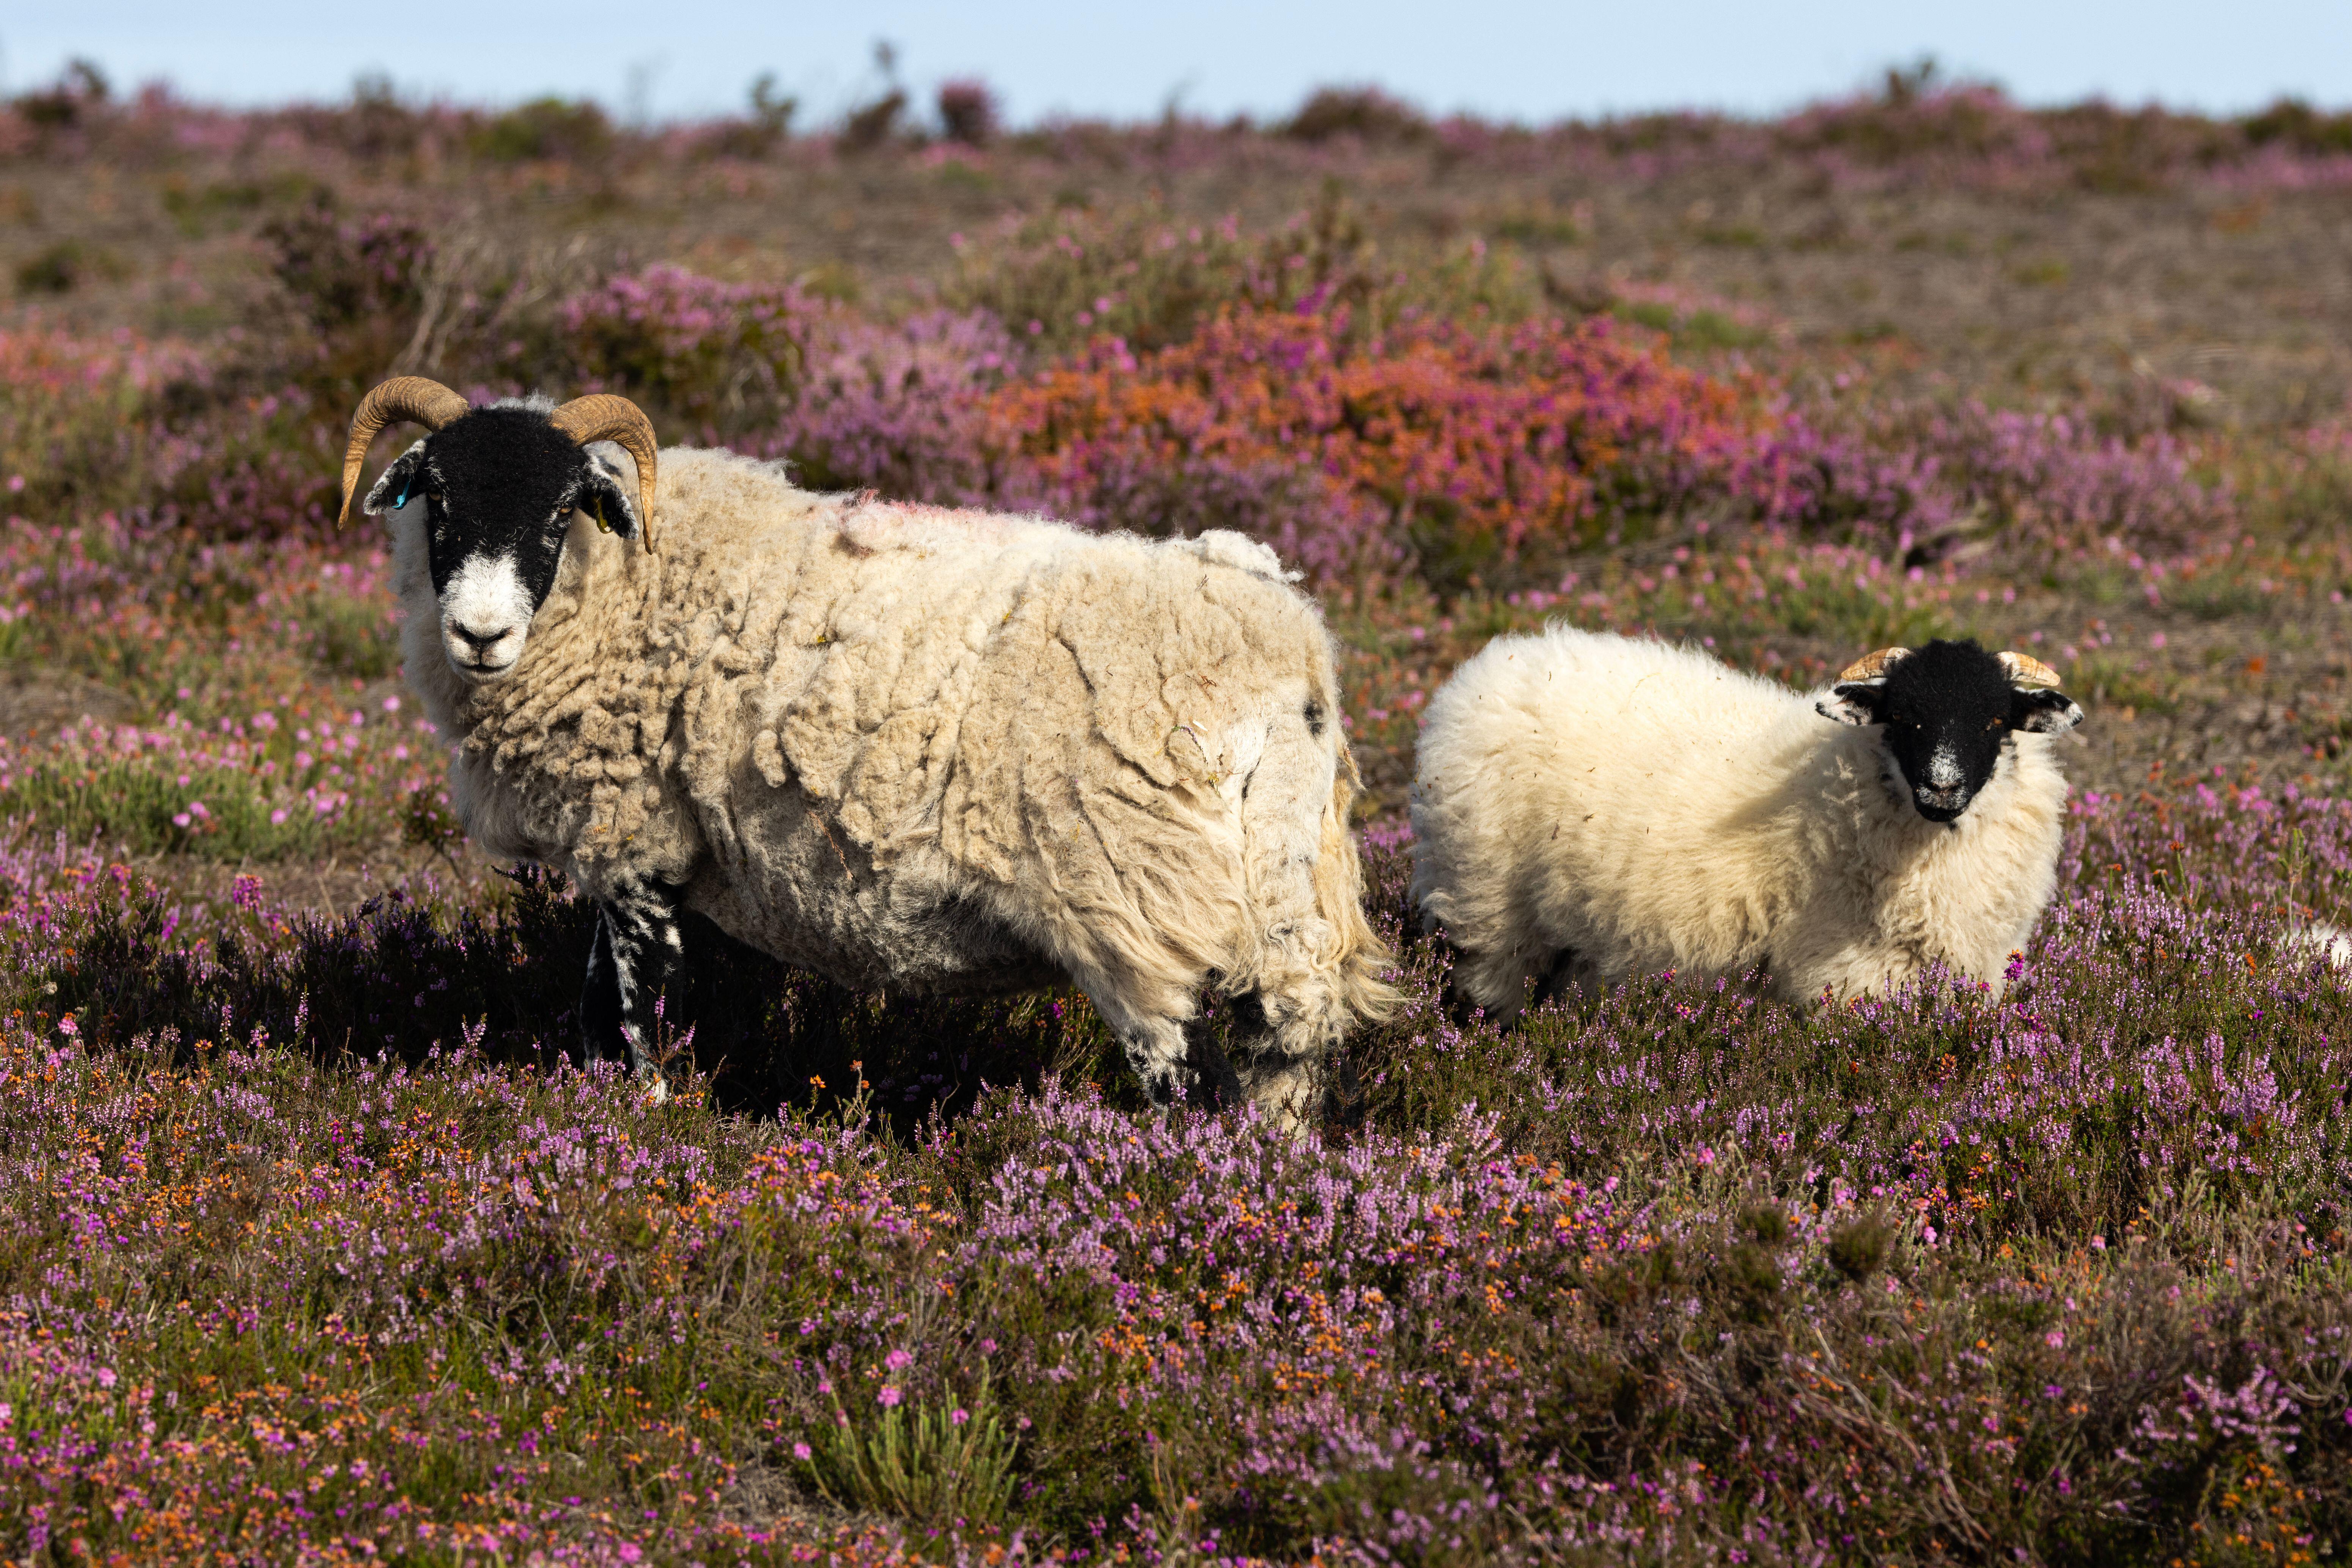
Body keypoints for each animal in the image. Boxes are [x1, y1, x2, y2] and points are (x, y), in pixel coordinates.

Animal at [1402, 630, 2088, 1025]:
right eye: (1901, 717)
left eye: (1996, 720)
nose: (1942, 787)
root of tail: (1492, 665)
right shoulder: (1844, 976)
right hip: (1488, 898)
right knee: (1491, 987)